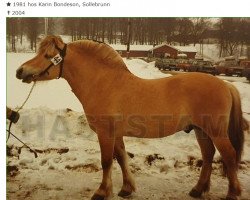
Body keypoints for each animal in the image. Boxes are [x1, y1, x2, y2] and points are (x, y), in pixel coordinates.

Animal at [15, 35, 248, 199]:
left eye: (47, 56)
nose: (20, 71)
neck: (104, 83)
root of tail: (225, 84)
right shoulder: (116, 134)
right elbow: (121, 158)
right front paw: (126, 188)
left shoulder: (105, 133)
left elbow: (107, 161)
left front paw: (102, 192)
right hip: (201, 131)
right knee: (208, 156)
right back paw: (198, 190)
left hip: (216, 132)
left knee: (228, 155)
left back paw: (232, 193)